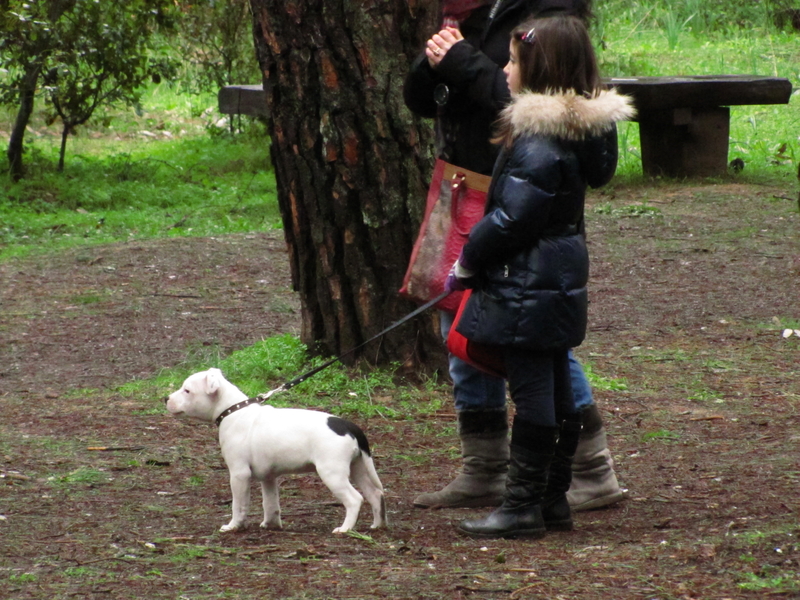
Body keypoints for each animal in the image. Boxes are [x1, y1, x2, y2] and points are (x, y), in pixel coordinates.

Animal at [164, 366, 386, 536]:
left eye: (187, 391)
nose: (166, 398)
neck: (233, 411)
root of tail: (349, 426)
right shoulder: (268, 476)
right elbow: (270, 503)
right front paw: (271, 524)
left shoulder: (239, 474)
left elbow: (239, 504)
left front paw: (234, 526)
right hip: (358, 467)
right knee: (375, 494)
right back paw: (377, 525)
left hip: (332, 473)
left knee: (354, 499)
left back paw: (345, 529)